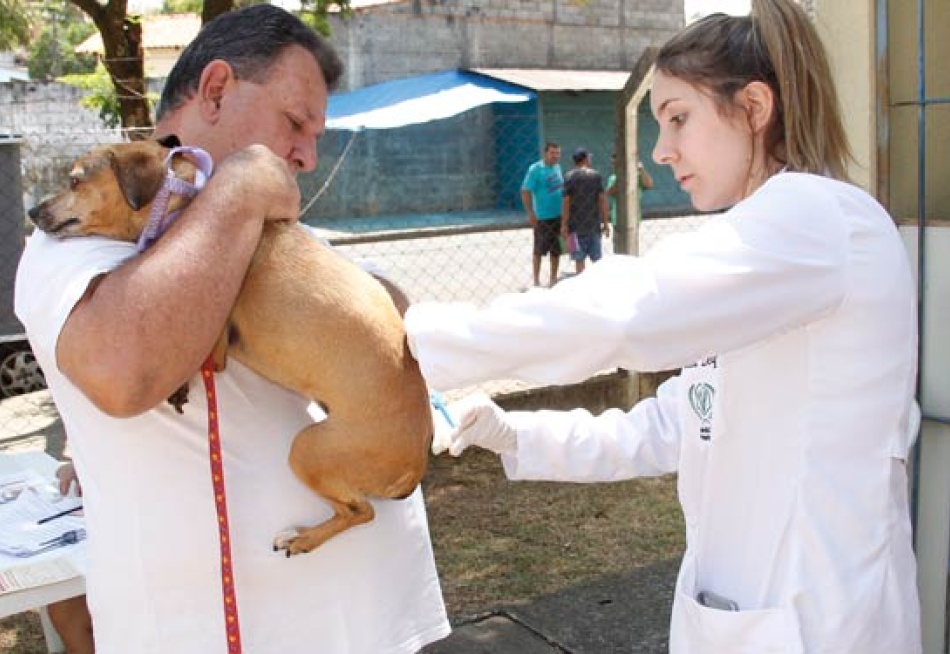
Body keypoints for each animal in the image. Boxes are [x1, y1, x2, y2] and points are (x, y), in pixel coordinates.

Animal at [26, 140, 436, 560]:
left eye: (74, 180)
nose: (32, 211)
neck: (182, 205)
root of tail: (414, 465)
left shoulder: (219, 344)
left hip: (307, 449)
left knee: (361, 511)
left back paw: (302, 539)